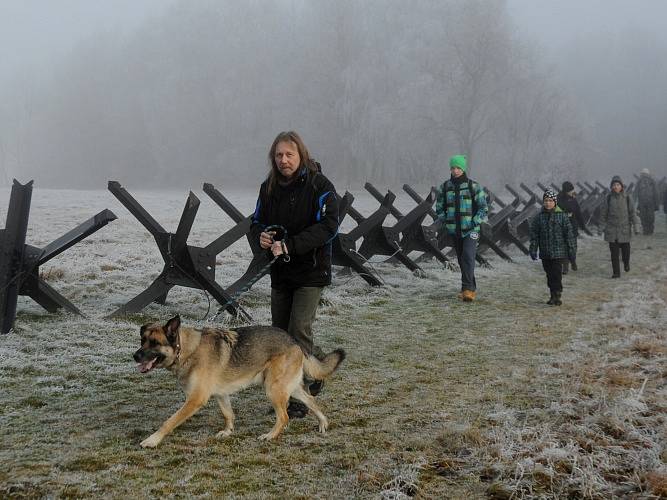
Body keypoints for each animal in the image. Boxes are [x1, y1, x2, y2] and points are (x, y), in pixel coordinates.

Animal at [134, 314, 348, 448]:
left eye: (154, 343)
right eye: (142, 341)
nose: (134, 356)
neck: (186, 350)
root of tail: (294, 341)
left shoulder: (195, 400)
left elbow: (169, 421)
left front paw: (152, 440)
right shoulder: (221, 394)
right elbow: (228, 414)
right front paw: (228, 432)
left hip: (273, 389)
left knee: (284, 417)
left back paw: (270, 436)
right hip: (288, 388)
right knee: (311, 400)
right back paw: (323, 423)